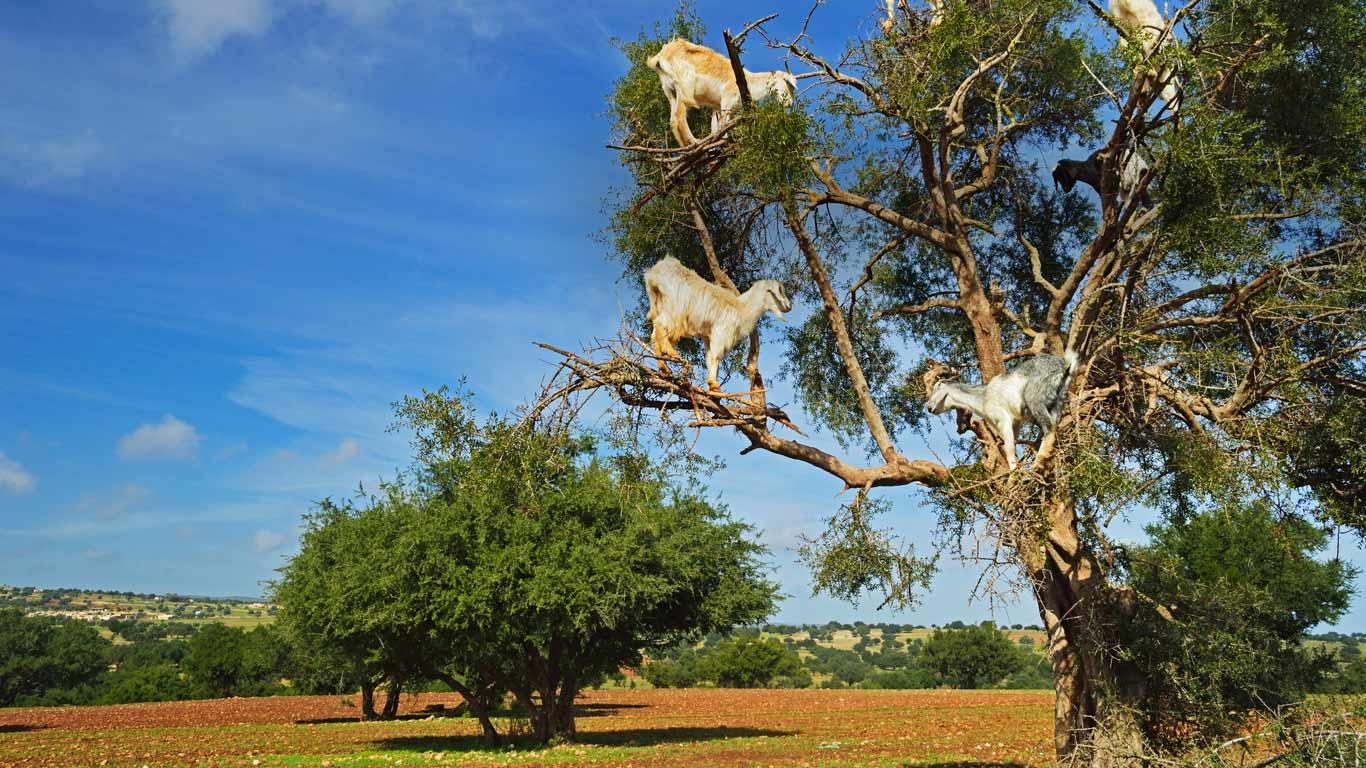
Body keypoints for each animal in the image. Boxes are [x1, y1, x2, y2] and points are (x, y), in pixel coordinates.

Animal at [644, 256, 791, 392]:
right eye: (779, 291)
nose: (789, 307)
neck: (742, 308)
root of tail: (654, 273)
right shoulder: (721, 332)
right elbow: (715, 357)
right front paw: (713, 384)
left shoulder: (709, 336)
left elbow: (709, 358)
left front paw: (712, 385)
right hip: (675, 309)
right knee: (660, 325)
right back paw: (671, 352)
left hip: (661, 306)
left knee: (654, 335)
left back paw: (664, 367)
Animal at [647, 39, 797, 147]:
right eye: (788, 84)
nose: (790, 103)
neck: (748, 80)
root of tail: (660, 57)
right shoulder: (727, 101)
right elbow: (724, 126)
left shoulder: (716, 107)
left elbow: (715, 128)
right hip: (684, 86)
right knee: (680, 116)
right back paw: (695, 142)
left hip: (670, 92)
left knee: (673, 120)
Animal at [925, 351, 1079, 469]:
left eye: (937, 387)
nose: (929, 407)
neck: (983, 397)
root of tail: (1064, 365)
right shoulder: (1016, 422)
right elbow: (1012, 444)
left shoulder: (1002, 419)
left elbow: (1008, 448)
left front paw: (1013, 474)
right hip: (1058, 400)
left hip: (1035, 399)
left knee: (1049, 428)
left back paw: (1037, 465)